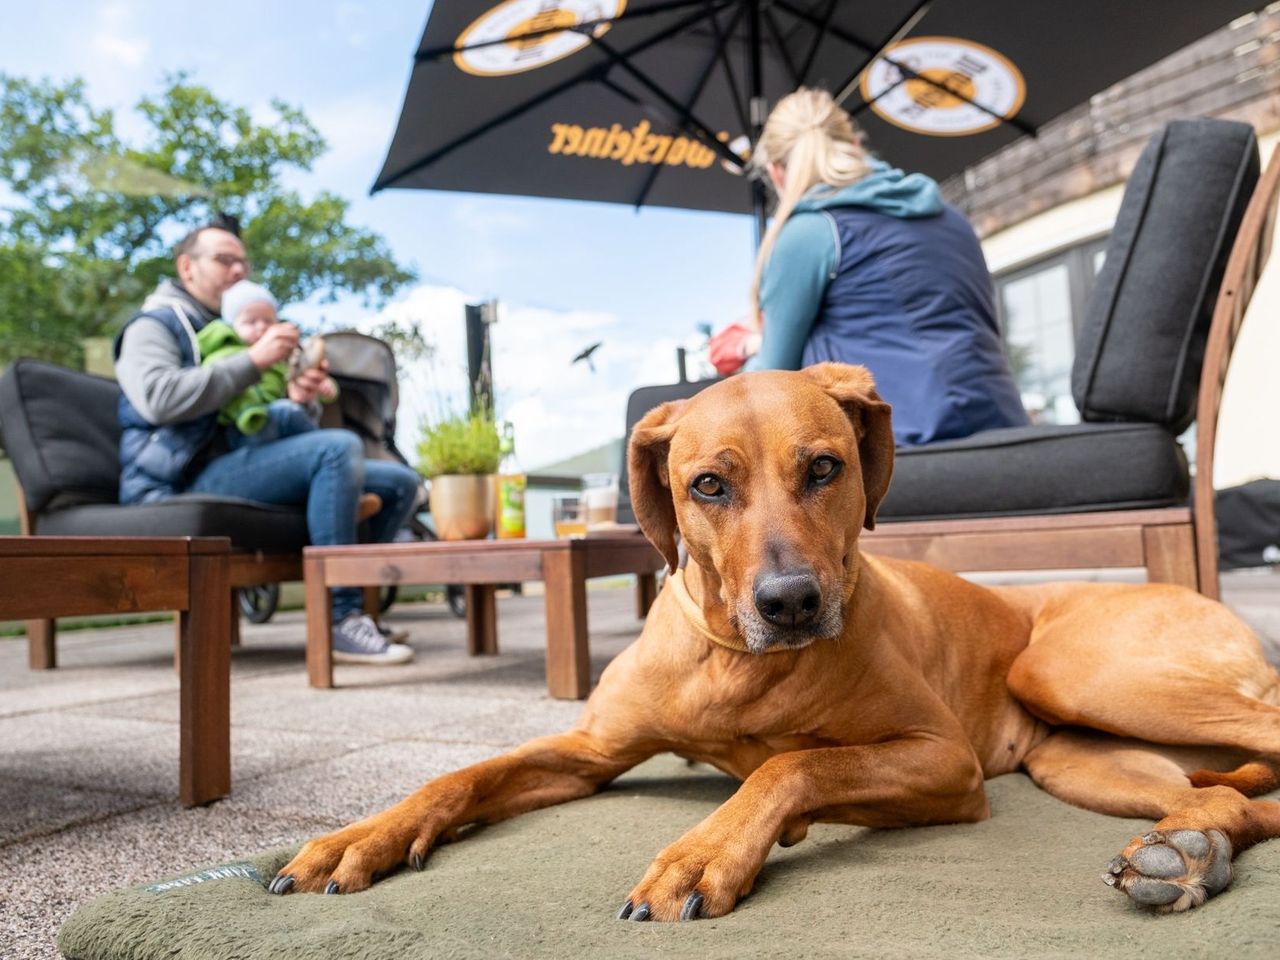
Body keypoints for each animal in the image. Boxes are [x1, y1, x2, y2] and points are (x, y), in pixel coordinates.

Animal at [270, 363, 1280, 921]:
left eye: (825, 468)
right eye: (708, 485)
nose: (791, 602)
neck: (736, 662)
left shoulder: (944, 761)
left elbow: (792, 763)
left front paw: (709, 849)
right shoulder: (589, 750)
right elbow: (460, 775)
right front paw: (357, 839)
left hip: (1069, 668)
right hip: (1082, 758)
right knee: (1236, 798)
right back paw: (1190, 852)